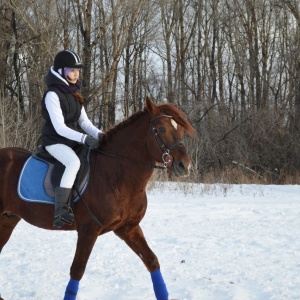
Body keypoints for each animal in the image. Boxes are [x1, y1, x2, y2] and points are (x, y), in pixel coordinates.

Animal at [0, 97, 196, 298]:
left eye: (180, 130)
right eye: (162, 129)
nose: (184, 166)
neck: (116, 173)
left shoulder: (128, 228)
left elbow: (151, 260)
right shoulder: (88, 230)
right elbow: (77, 270)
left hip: (7, 219)